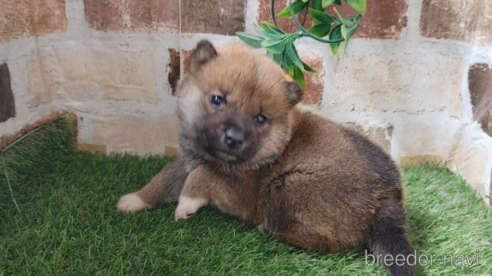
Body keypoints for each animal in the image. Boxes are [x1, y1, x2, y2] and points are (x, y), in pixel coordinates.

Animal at [118, 40, 416, 276]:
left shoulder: (241, 192)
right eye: (217, 100)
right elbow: (162, 180)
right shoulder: (186, 162)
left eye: (260, 118)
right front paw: (135, 200)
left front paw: (186, 204)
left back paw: (268, 229)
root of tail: (389, 195)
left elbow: (202, 176)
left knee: (327, 242)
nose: (234, 137)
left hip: (288, 187)